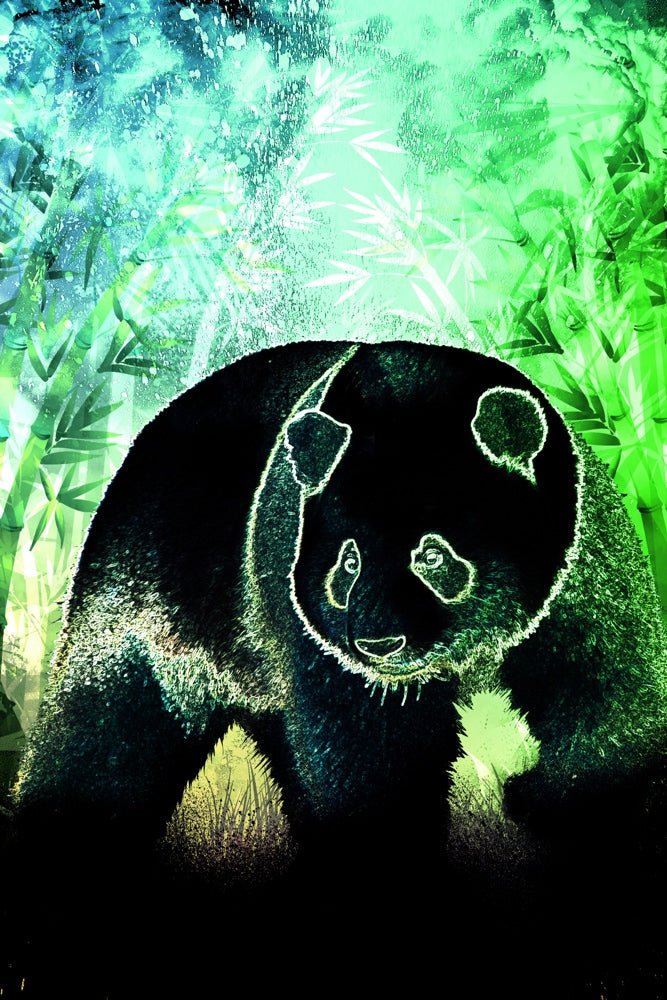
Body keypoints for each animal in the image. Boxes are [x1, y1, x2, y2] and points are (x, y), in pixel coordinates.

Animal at [15, 341, 666, 881]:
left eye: (432, 553)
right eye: (347, 563)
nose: (381, 645)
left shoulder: (577, 558)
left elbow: (609, 681)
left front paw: (547, 797)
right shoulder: (296, 591)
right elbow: (366, 757)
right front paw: (389, 848)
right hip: (154, 590)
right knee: (104, 734)